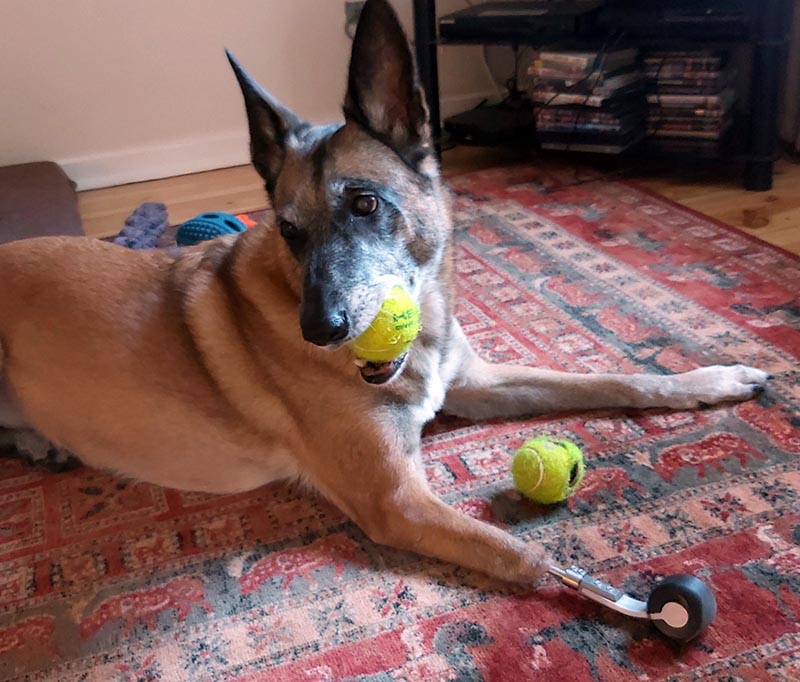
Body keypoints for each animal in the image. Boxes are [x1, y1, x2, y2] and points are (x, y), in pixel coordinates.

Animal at [0, 0, 768, 584]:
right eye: (288, 230)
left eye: (365, 204)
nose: (320, 329)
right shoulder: (397, 499)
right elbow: (528, 556)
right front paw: (638, 607)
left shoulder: (475, 383)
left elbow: (611, 377)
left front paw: (708, 380)